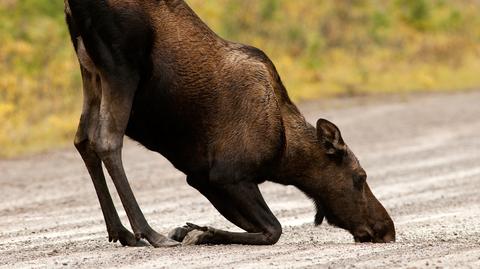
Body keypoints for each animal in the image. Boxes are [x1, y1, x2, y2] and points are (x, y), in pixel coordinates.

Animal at [62, 0, 394, 246]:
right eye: (360, 177)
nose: (387, 229)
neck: (284, 157)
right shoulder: (228, 173)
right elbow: (274, 229)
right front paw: (200, 233)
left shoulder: (200, 177)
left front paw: (188, 229)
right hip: (120, 67)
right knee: (106, 139)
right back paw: (149, 233)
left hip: (89, 68)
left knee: (83, 139)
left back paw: (121, 232)